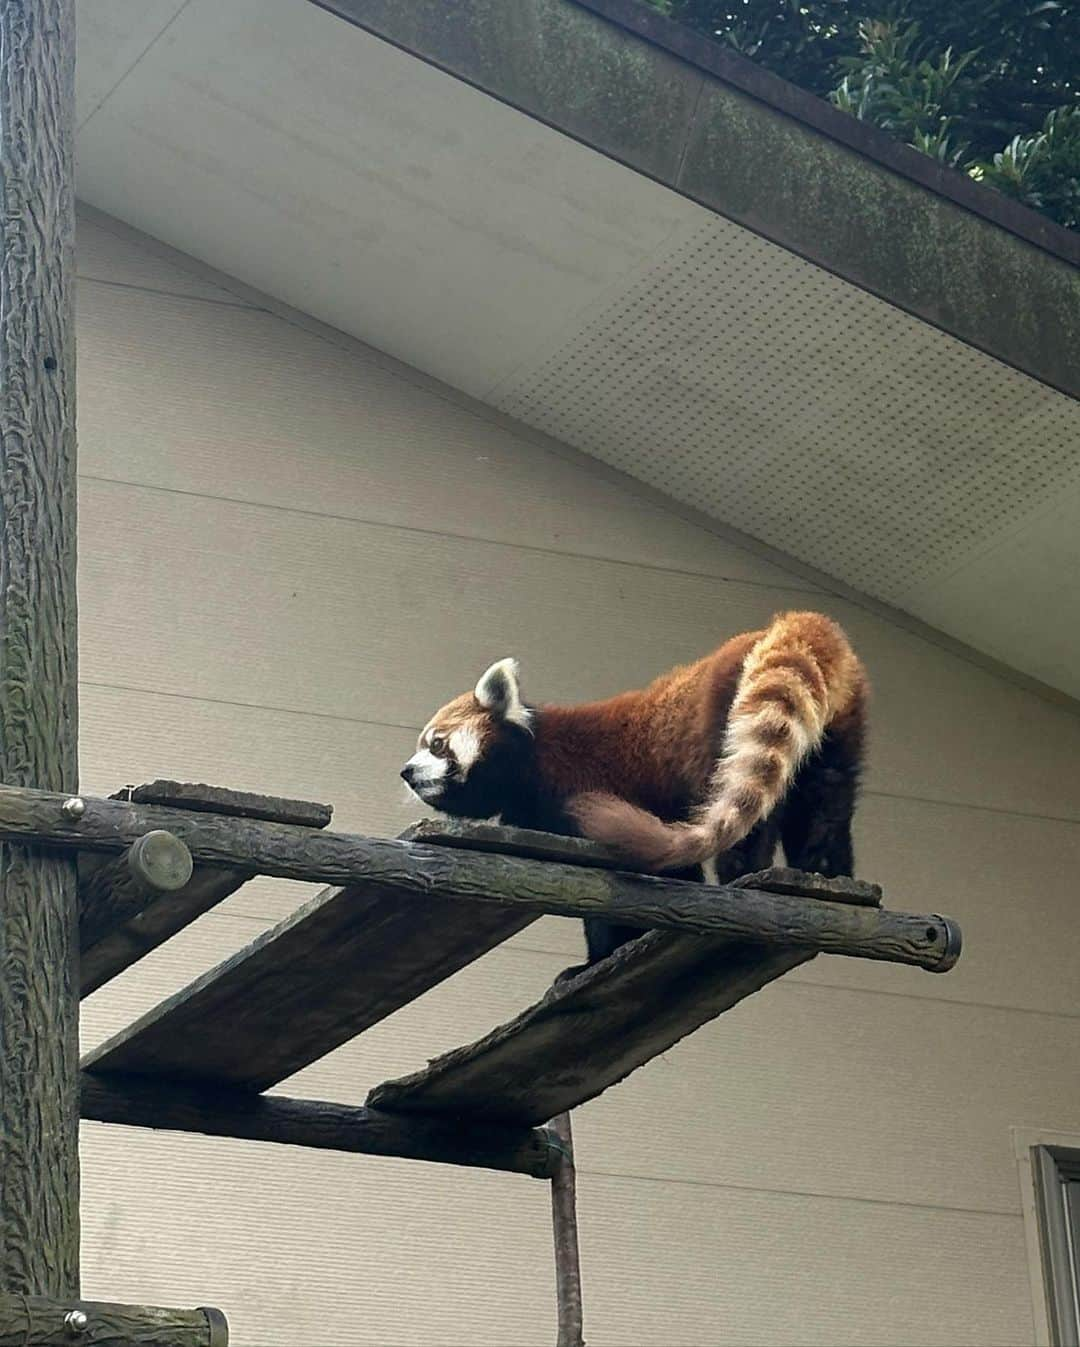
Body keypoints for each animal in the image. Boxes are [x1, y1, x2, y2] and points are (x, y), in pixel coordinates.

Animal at [403, 611, 867, 969]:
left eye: (437, 744)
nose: (407, 772)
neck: (531, 759)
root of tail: (788, 626)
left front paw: (596, 959)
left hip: (725, 721)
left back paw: (743, 875)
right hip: (835, 734)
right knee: (825, 801)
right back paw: (828, 874)